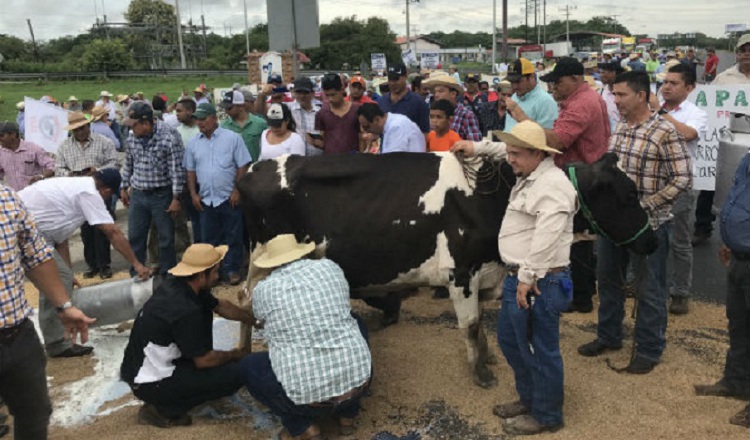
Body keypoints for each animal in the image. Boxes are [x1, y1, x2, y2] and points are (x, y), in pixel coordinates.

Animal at [238, 151, 656, 388]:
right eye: (629, 194)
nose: (651, 241)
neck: (494, 195)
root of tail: (254, 166)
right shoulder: (462, 272)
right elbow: (469, 326)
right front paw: (481, 374)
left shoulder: (484, 273)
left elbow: (481, 325)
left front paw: (487, 358)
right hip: (262, 263)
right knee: (245, 304)